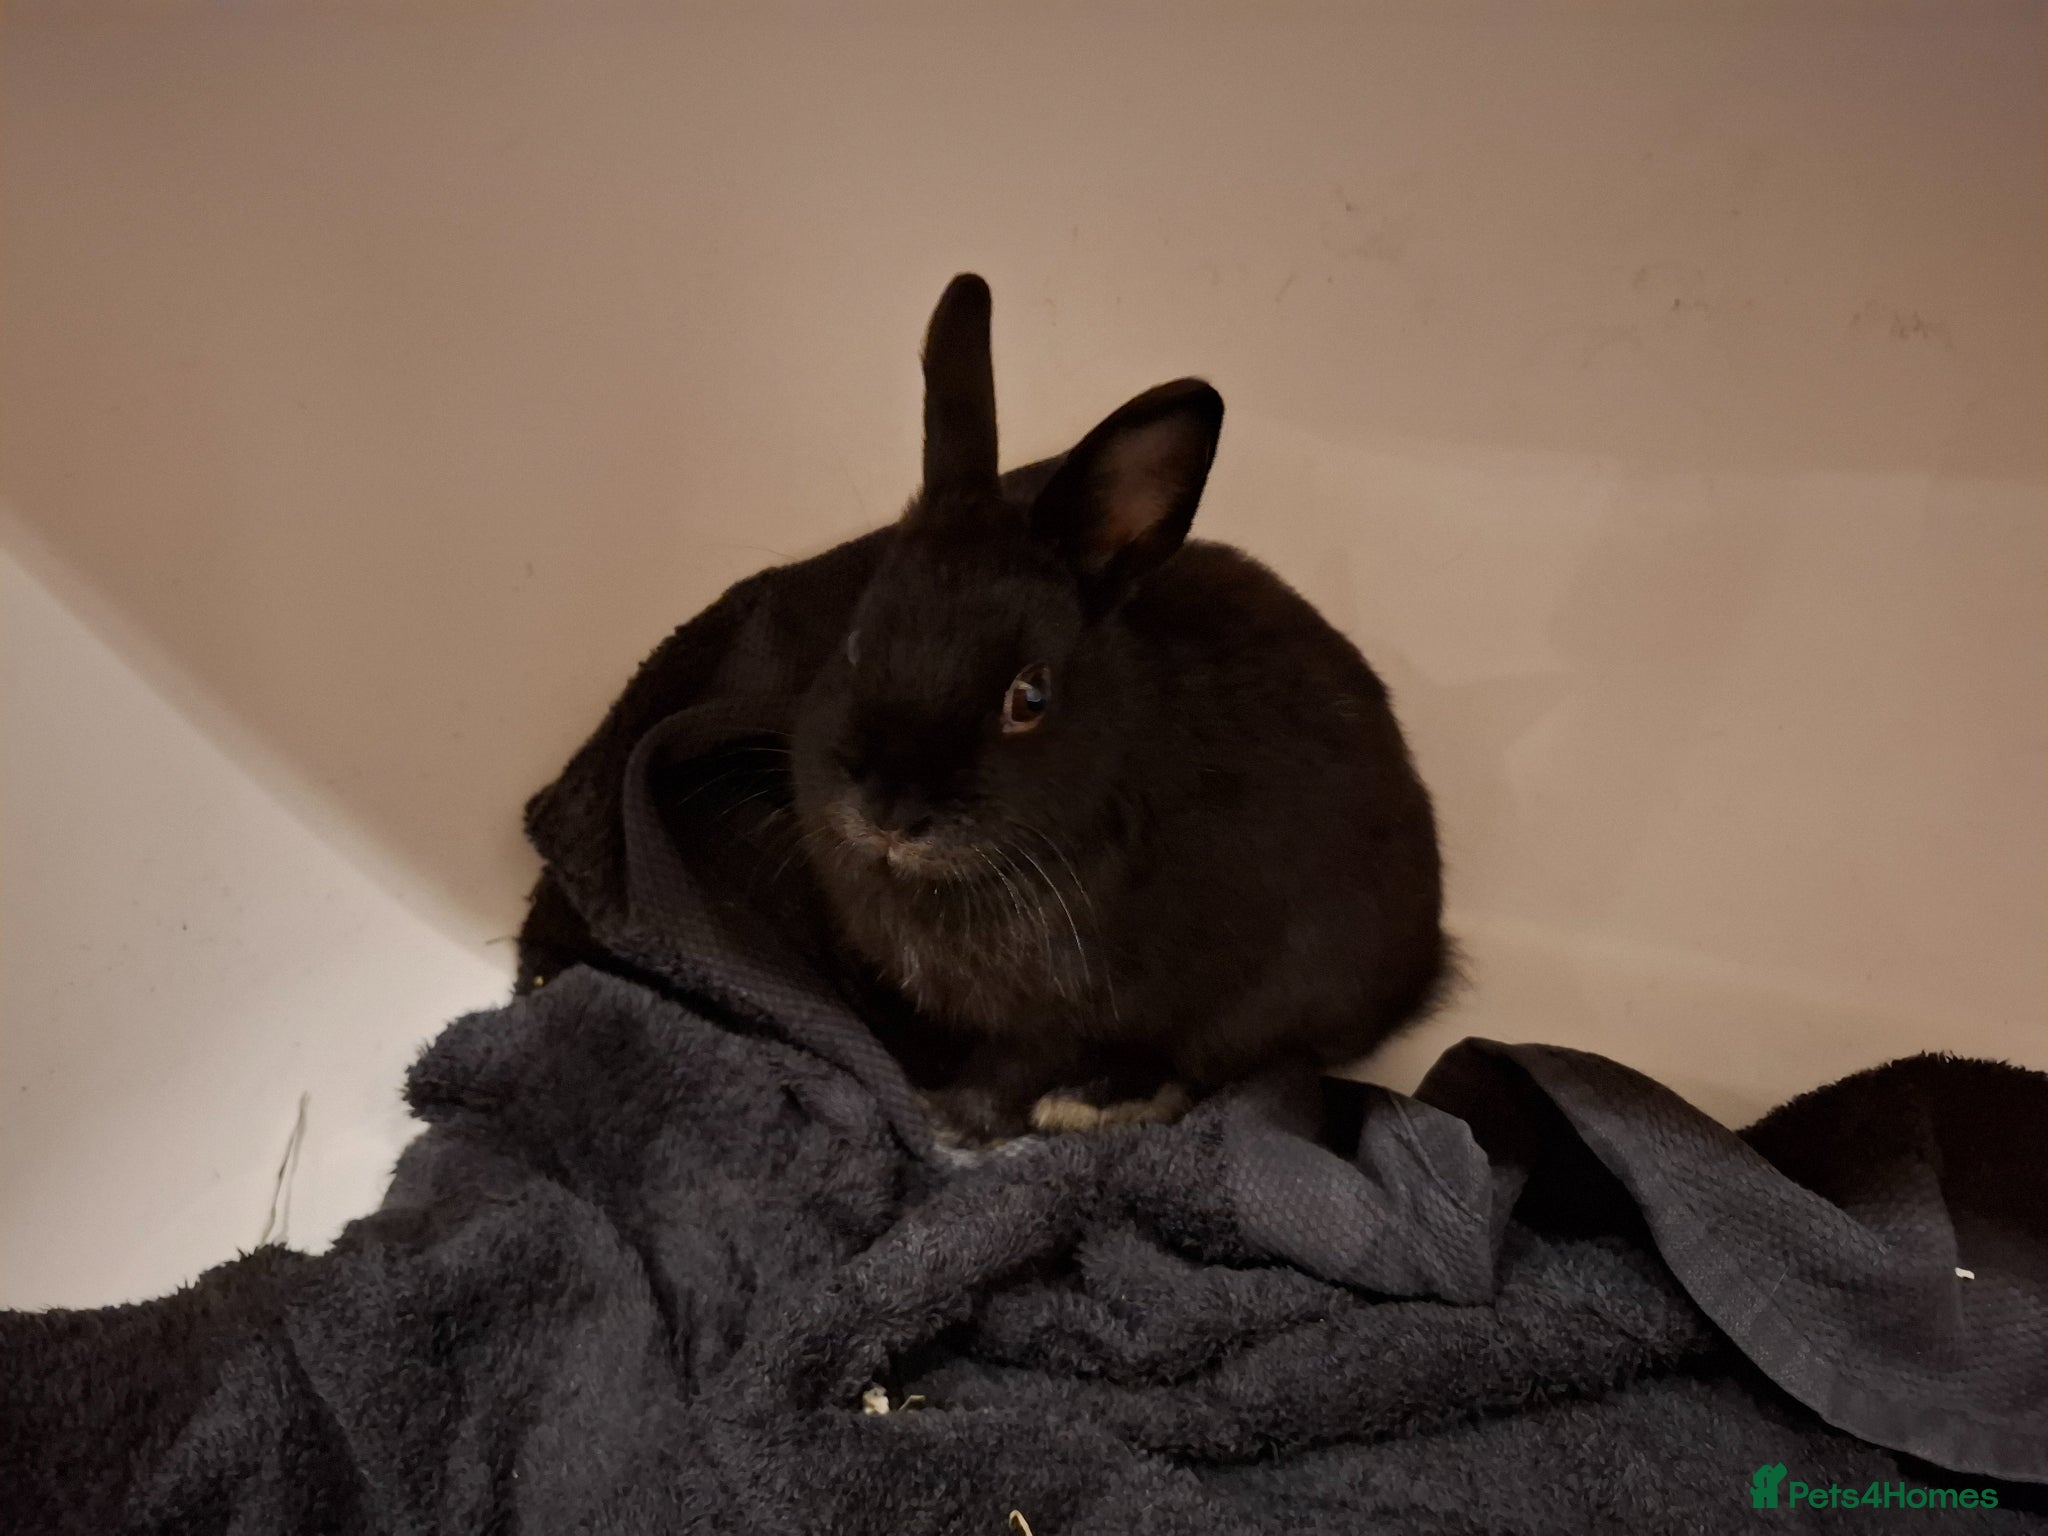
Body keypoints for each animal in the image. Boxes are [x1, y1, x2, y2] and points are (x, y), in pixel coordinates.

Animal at [791, 274, 1448, 1146]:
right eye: (860, 638)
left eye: (1030, 697)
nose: (890, 812)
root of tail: (1429, 959)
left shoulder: (1070, 1014)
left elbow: (1014, 1069)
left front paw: (951, 1122)